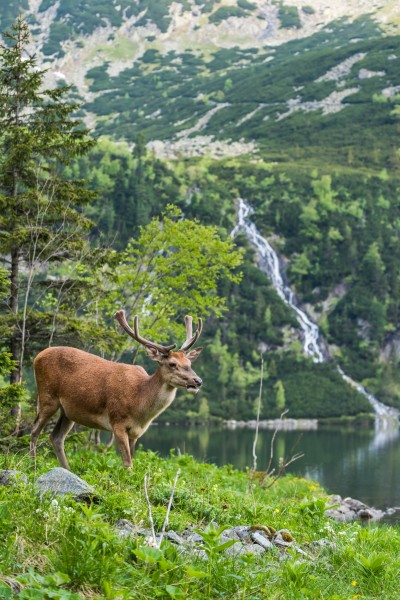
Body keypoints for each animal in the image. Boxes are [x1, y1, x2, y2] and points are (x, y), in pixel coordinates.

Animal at [30, 312, 203, 472]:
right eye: (172, 364)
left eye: (189, 363)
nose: (198, 381)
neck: (140, 405)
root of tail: (37, 356)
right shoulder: (117, 421)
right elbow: (127, 464)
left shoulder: (136, 432)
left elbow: (132, 460)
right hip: (47, 396)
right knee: (35, 429)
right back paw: (33, 466)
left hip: (68, 412)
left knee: (56, 436)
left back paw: (67, 469)